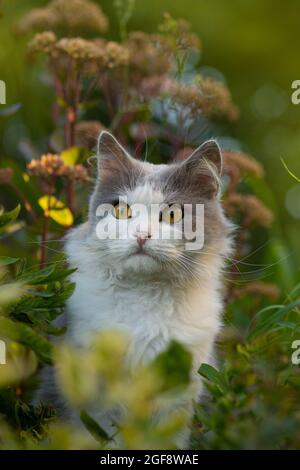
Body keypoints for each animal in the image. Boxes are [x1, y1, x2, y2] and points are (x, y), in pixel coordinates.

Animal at [41, 130, 232, 446]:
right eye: (122, 210)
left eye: (172, 215)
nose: (142, 235)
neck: (144, 299)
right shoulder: (96, 398)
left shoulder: (177, 402)